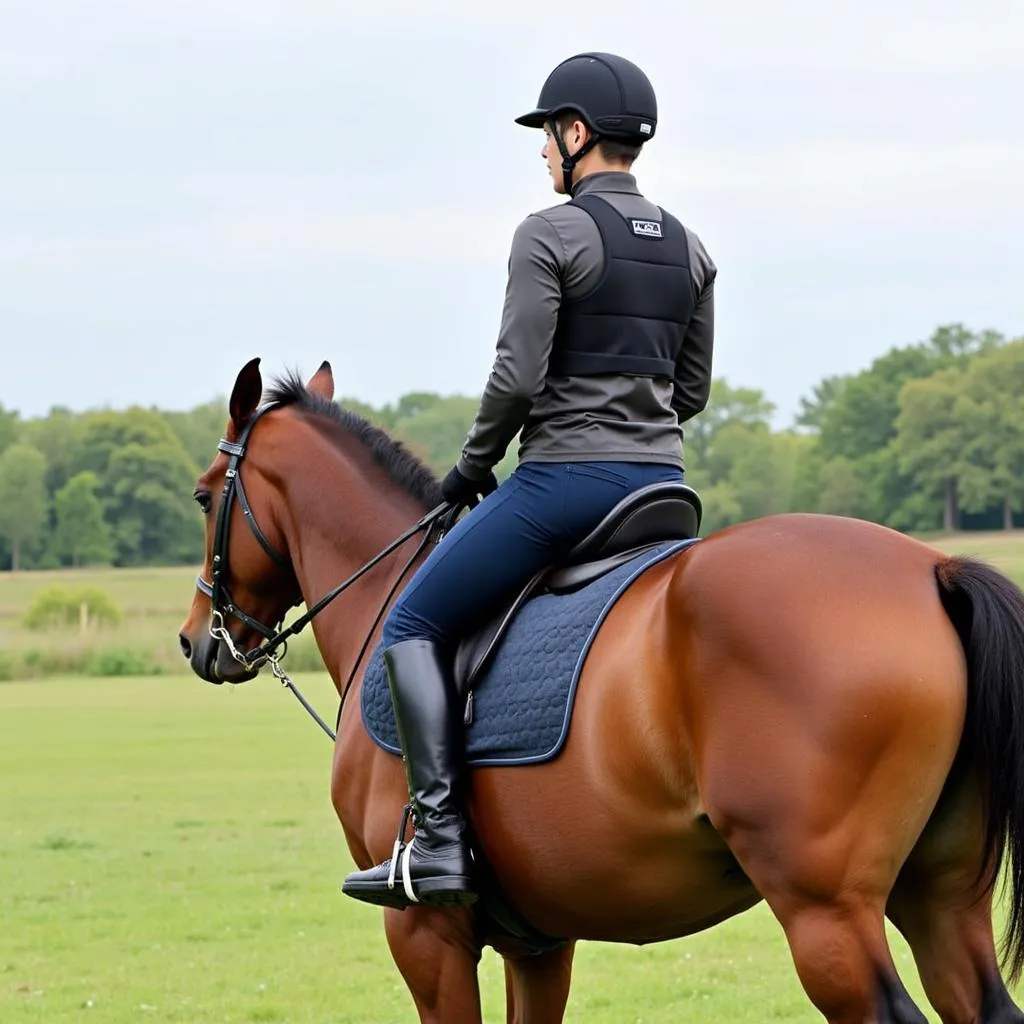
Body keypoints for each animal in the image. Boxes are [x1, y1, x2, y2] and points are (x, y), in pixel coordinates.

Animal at [178, 356, 1024, 1019]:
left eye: (204, 493)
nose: (195, 640)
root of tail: (932, 569)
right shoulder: (539, 942)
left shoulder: (425, 936)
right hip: (942, 898)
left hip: (826, 911)